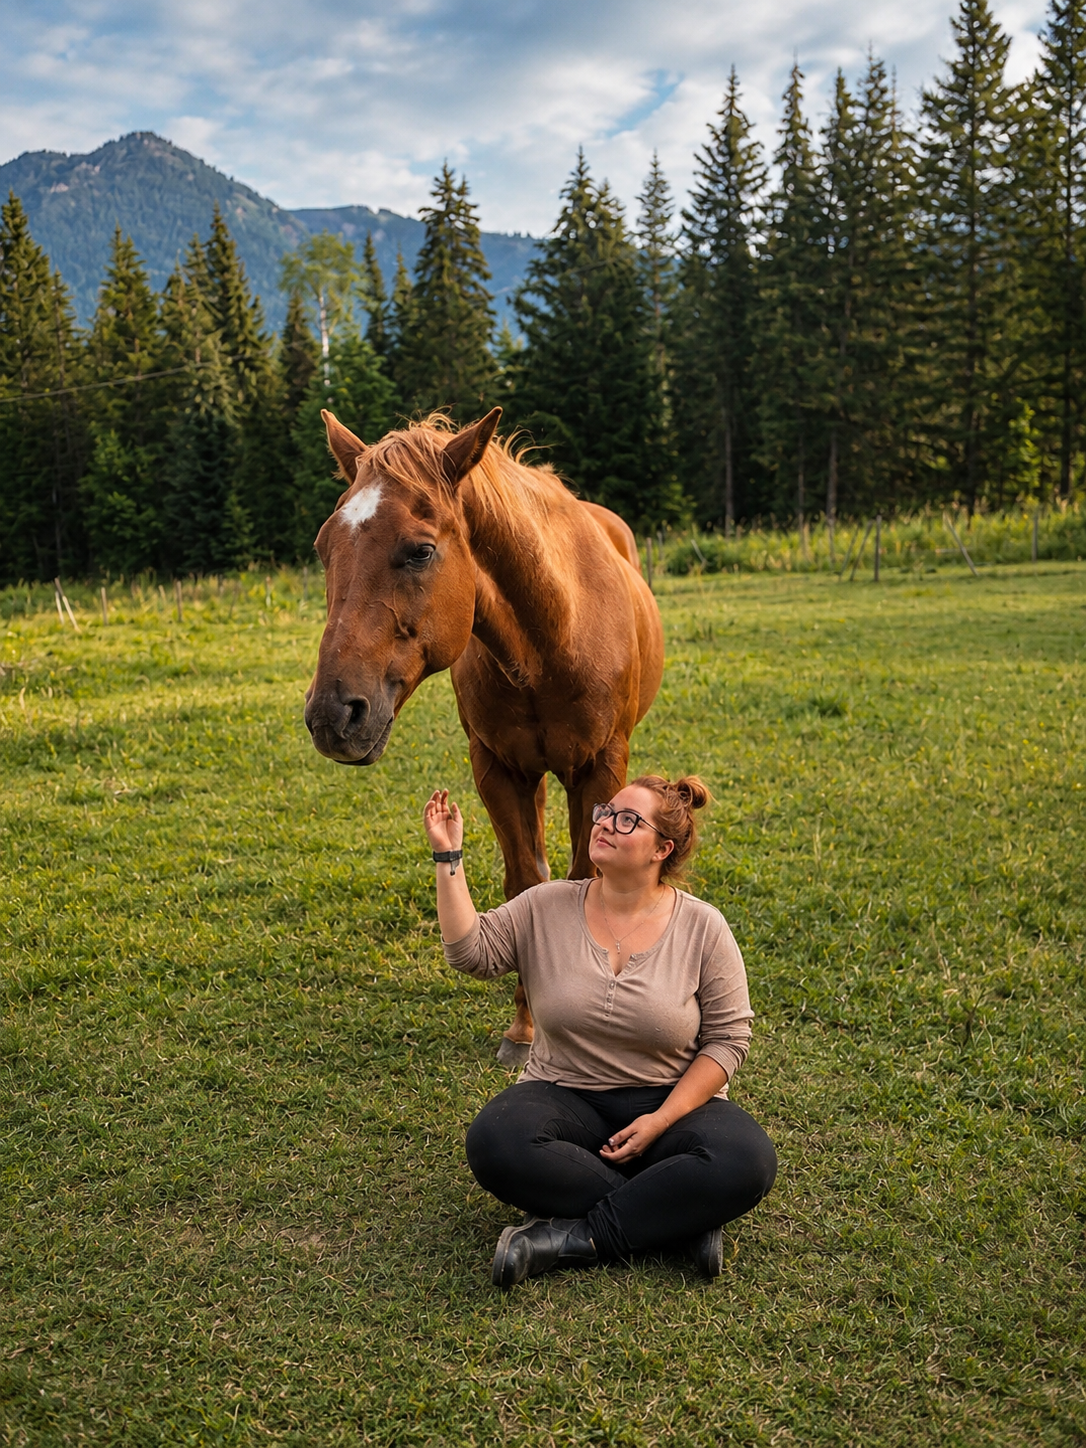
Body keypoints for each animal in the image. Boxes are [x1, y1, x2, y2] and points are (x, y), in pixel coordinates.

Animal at [304, 406, 665, 1064]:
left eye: (420, 551)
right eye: (324, 547)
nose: (332, 715)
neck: (552, 637)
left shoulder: (599, 767)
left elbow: (584, 880)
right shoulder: (498, 768)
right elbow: (526, 883)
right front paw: (525, 1027)